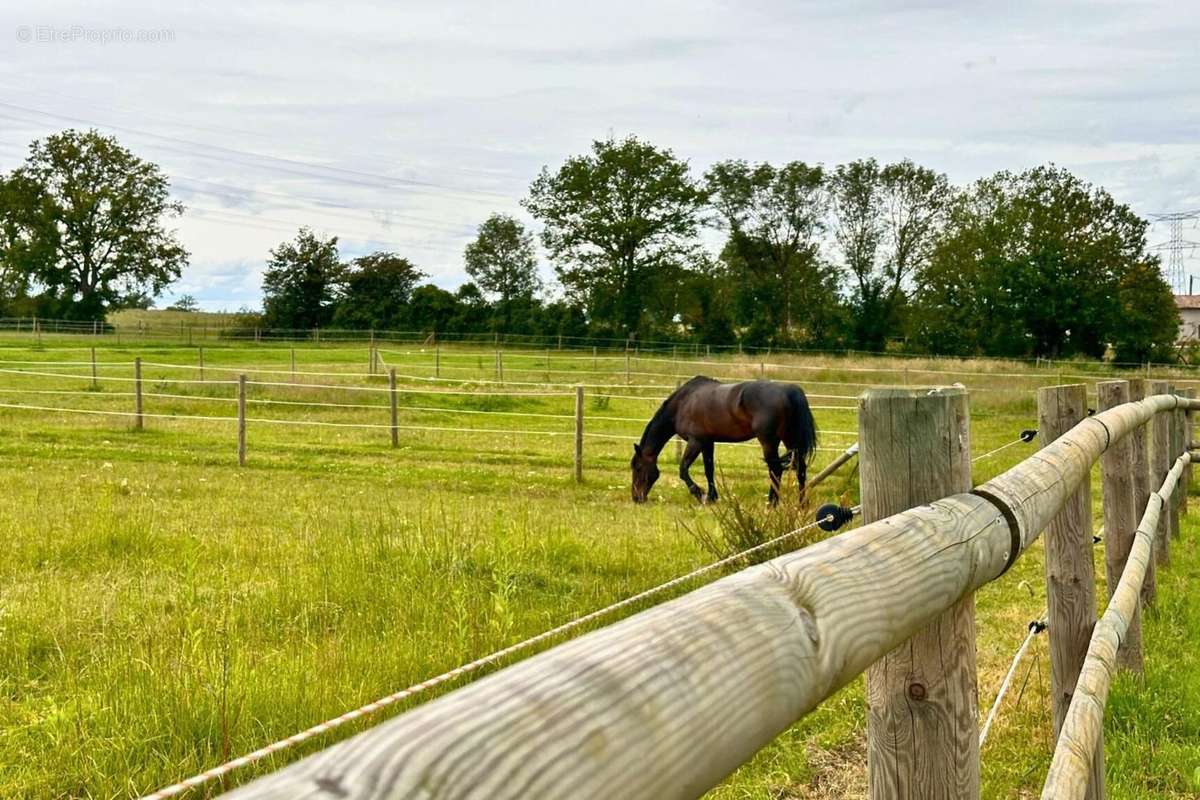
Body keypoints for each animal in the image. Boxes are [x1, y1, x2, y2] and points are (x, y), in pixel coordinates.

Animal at [628, 376, 816, 503]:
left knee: (776, 470)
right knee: (800, 469)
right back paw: (801, 503)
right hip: (790, 439)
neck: (683, 403)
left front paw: (700, 494)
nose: (636, 497)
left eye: (638, 468)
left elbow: (683, 469)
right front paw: (712, 497)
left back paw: (772, 503)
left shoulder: (695, 441)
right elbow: (708, 469)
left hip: (769, 441)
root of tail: (790, 391)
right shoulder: (707, 442)